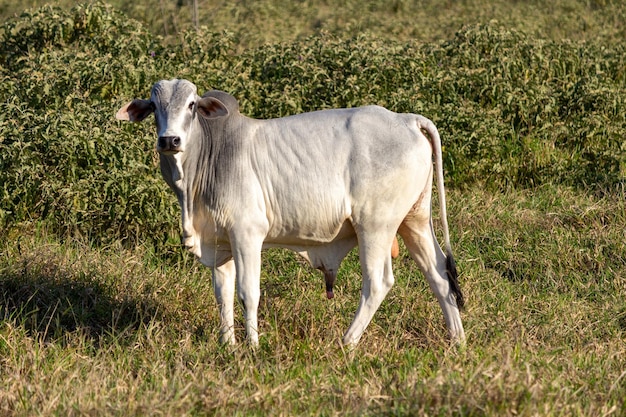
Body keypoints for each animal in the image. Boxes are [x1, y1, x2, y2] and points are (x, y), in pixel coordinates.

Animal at [116, 79, 464, 346]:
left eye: (190, 105)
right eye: (154, 106)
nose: (169, 140)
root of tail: (407, 119)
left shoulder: (247, 234)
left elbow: (248, 293)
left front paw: (252, 346)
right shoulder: (220, 242)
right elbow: (223, 295)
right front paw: (227, 345)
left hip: (376, 226)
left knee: (377, 283)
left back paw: (346, 342)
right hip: (414, 221)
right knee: (439, 275)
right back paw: (456, 341)